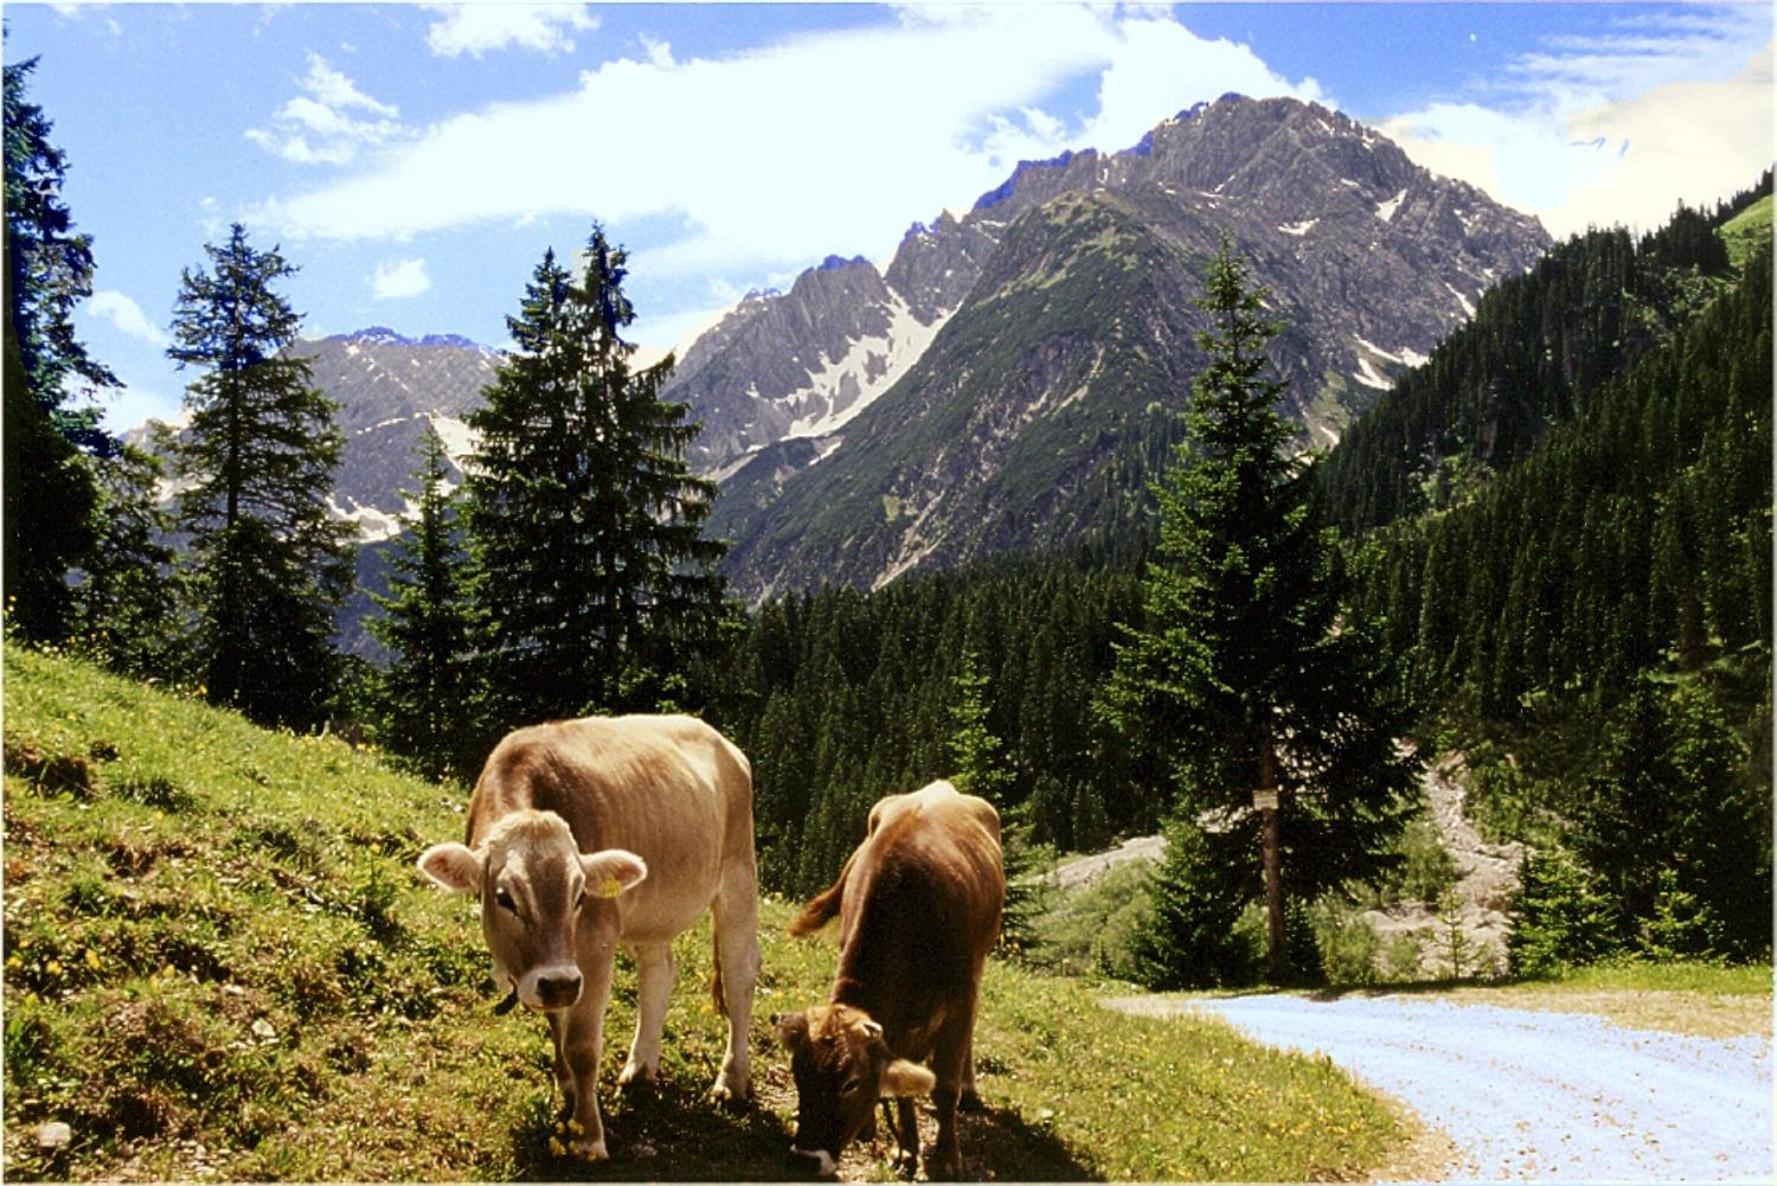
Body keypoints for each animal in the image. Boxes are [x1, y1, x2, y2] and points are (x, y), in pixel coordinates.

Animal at [419, 714, 760, 1159]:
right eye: (504, 897)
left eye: (580, 895)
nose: (560, 984)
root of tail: (721, 740)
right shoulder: (553, 972)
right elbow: (556, 1024)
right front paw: (566, 1086)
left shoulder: (594, 944)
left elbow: (581, 1046)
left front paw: (588, 1135)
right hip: (652, 911)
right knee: (660, 972)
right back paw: (640, 1067)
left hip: (738, 878)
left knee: (740, 976)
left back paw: (730, 1081)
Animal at [774, 778, 1009, 1180]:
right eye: (799, 1074)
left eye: (850, 1083)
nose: (806, 1159)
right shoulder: (895, 1012)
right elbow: (905, 1083)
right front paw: (905, 1149)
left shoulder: (960, 993)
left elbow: (945, 1083)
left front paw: (947, 1156)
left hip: (980, 958)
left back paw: (969, 1090)